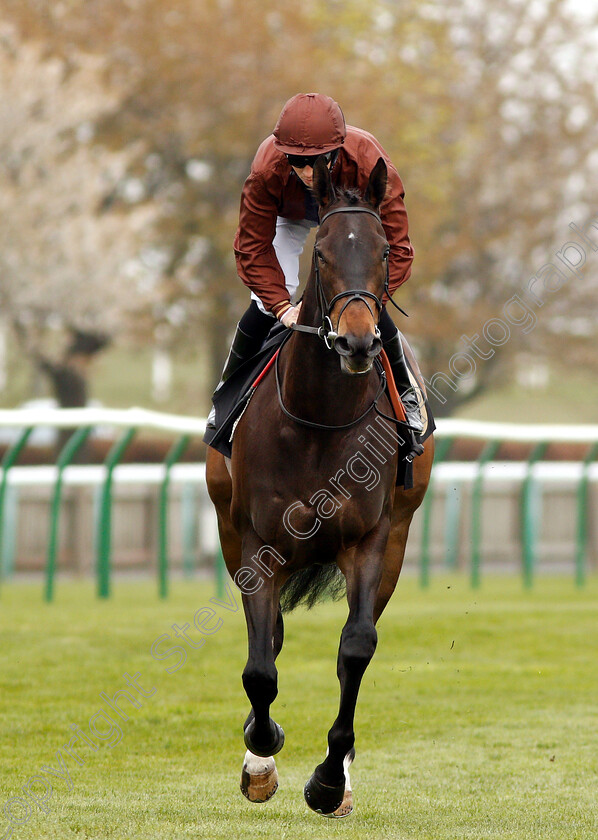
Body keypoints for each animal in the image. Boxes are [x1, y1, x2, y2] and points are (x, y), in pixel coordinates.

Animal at [207, 154, 436, 816]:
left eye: (384, 252)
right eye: (323, 253)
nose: (358, 341)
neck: (319, 419)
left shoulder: (369, 540)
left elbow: (356, 648)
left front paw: (330, 779)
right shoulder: (256, 542)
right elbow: (261, 667)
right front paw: (261, 756)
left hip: (396, 544)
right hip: (229, 532)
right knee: (271, 641)